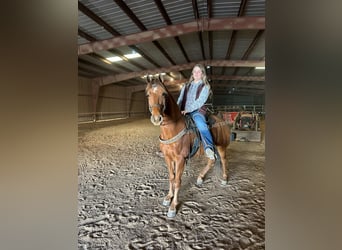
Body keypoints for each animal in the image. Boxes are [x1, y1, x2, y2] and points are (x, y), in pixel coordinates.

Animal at [144, 75, 230, 218]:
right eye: (148, 94)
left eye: (164, 94)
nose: (157, 118)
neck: (173, 129)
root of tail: (221, 120)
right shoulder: (168, 158)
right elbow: (171, 177)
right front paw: (168, 197)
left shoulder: (180, 159)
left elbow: (178, 181)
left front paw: (173, 207)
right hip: (209, 149)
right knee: (211, 160)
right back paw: (200, 178)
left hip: (221, 146)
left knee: (223, 160)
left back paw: (224, 179)